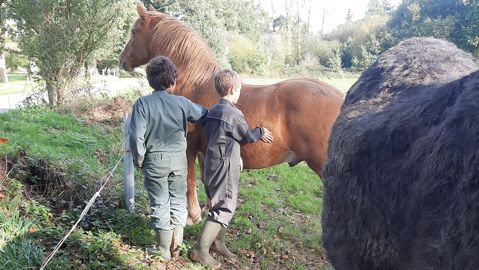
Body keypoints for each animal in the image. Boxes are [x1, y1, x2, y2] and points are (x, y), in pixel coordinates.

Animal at [120, 3, 344, 225]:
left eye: (134, 32)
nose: (121, 61)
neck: (195, 83)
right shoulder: (204, 149)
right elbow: (207, 180)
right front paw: (208, 209)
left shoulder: (189, 147)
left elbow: (190, 179)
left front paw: (192, 216)